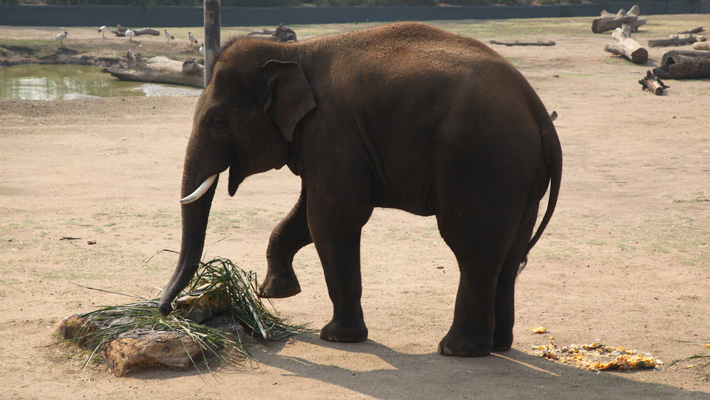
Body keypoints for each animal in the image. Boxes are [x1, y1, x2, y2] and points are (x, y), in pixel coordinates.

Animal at [157, 22, 562, 357]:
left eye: (218, 122)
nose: (164, 310)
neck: (292, 53)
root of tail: (540, 116)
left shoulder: (333, 131)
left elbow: (331, 218)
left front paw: (335, 337)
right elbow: (307, 214)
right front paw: (274, 292)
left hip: (483, 164)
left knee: (471, 245)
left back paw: (457, 350)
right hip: (520, 178)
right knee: (510, 253)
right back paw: (499, 345)